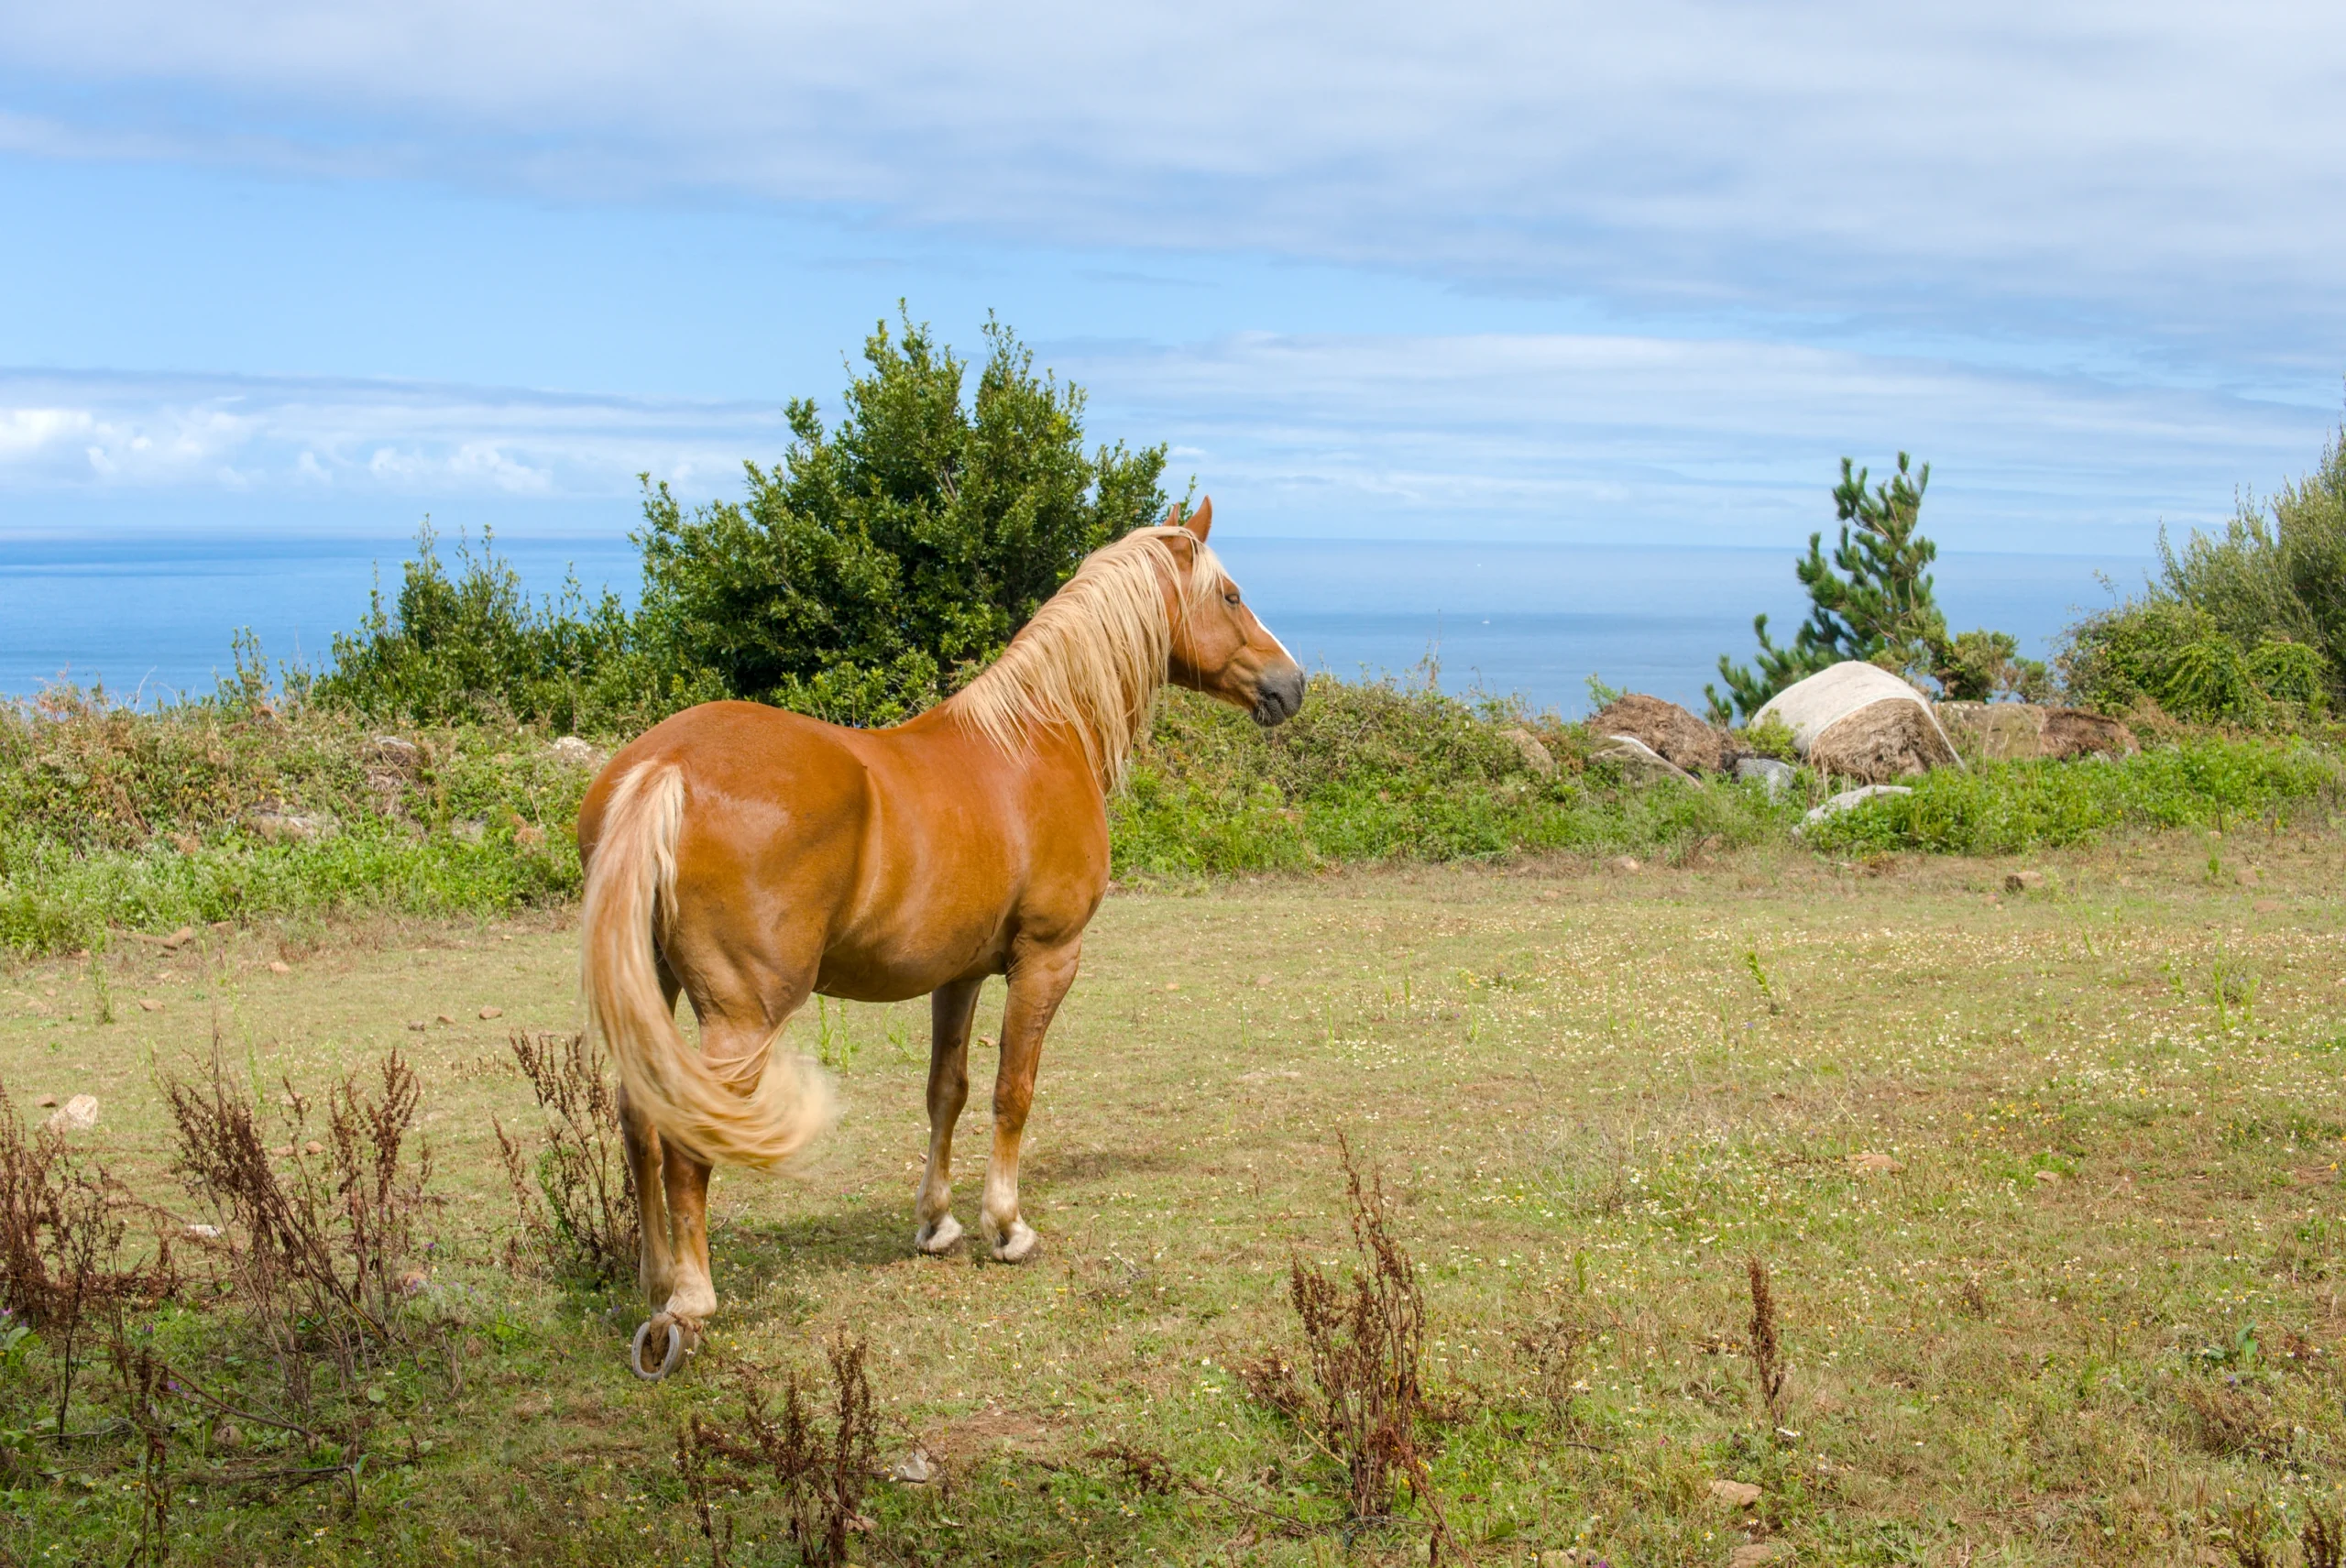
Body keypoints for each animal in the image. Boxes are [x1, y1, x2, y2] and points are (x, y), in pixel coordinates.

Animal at [575, 499, 1304, 1377]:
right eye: (1231, 595)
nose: (1292, 684)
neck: (1040, 734)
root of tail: (666, 768)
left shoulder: (958, 974)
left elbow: (945, 1091)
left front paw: (937, 1221)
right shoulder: (1046, 959)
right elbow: (1012, 1090)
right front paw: (1007, 1226)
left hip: (659, 986)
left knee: (641, 1120)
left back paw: (655, 1283)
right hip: (743, 1015)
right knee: (687, 1138)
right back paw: (688, 1304)